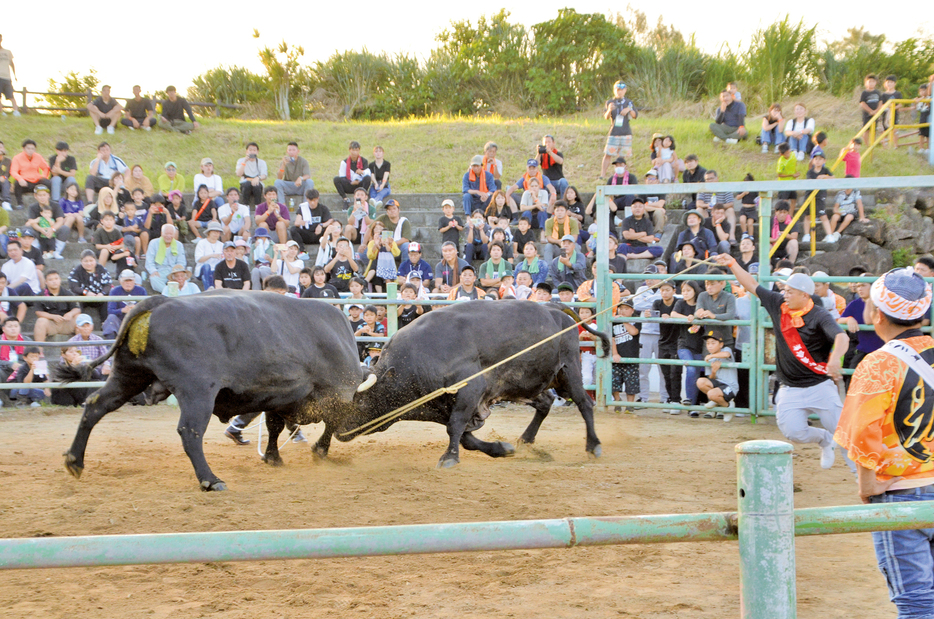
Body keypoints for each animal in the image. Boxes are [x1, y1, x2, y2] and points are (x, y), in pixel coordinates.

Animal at [56, 292, 372, 494]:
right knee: (190, 432)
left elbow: (274, 426)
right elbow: (331, 423)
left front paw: (273, 458)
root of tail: (160, 301)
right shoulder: (338, 391)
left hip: (128, 377)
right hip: (197, 392)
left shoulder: (278, 398)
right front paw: (319, 451)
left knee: (95, 405)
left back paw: (74, 460)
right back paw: (210, 479)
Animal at [344, 302, 616, 470]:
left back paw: (593, 445)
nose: (340, 431)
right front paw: (502, 448)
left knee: (584, 403)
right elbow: (466, 437)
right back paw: (525, 440)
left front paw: (449, 458)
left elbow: (455, 428)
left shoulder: (469, 391)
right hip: (533, 383)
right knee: (546, 403)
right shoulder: (448, 405)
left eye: (361, 401)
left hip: (569, 371)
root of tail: (552, 307)